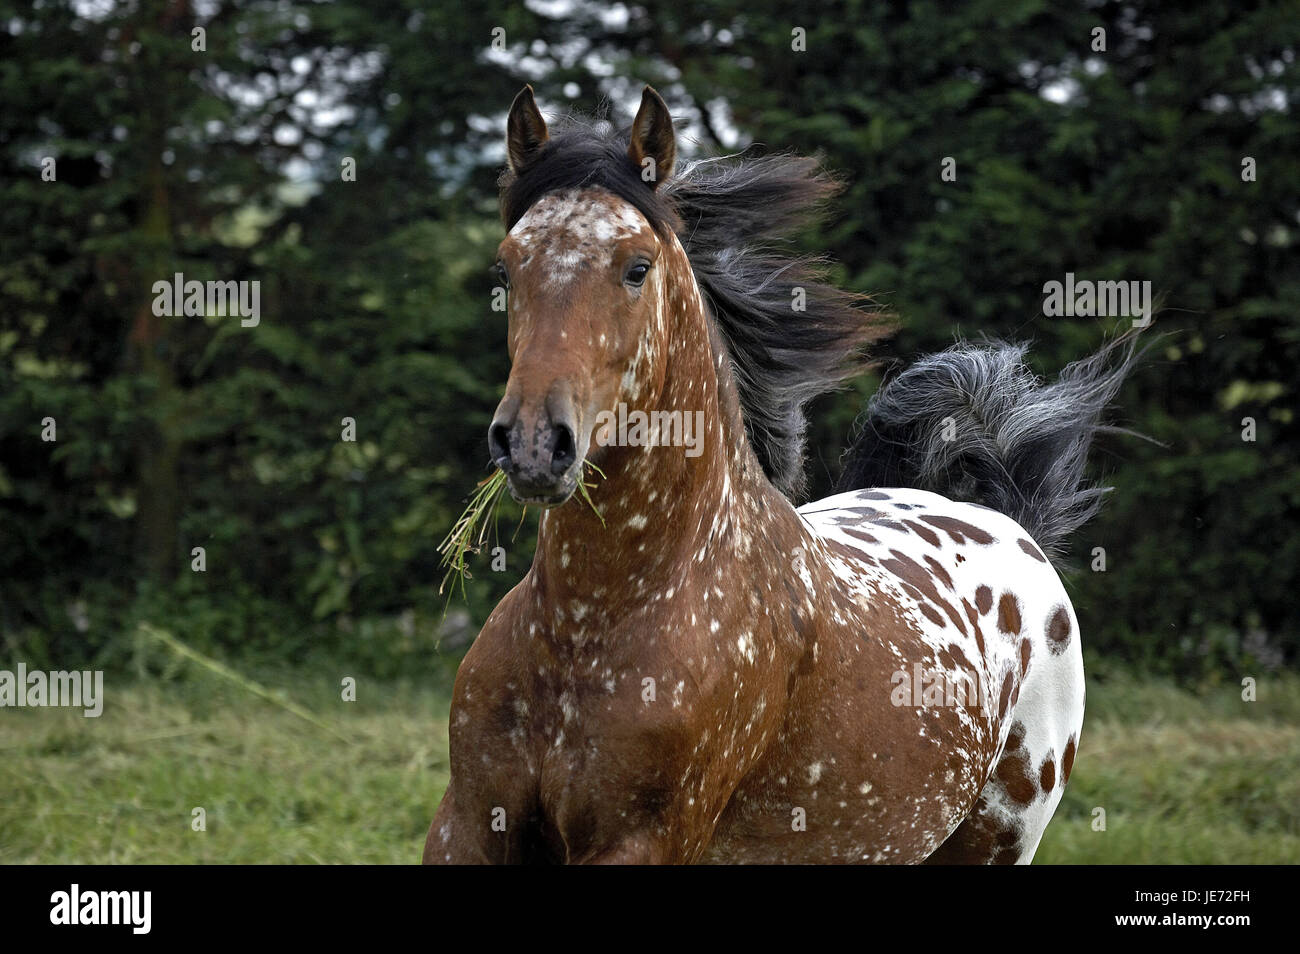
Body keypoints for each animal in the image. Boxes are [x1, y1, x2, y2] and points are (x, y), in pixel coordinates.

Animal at [426, 87, 1138, 868]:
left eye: (637, 267)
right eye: (505, 269)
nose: (531, 443)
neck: (587, 628)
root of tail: (1006, 519)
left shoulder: (642, 840)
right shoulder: (466, 823)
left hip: (995, 843)